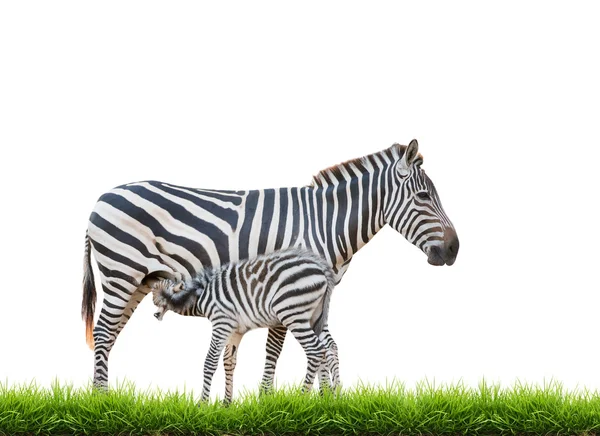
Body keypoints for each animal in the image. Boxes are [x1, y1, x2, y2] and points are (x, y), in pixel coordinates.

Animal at [148, 249, 340, 402]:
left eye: (156, 297)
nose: (155, 315)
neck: (200, 296)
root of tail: (321, 267)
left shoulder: (221, 323)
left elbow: (210, 361)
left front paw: (202, 405)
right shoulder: (235, 331)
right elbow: (229, 361)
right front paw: (226, 404)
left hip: (292, 314)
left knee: (315, 350)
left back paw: (301, 398)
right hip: (315, 316)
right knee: (329, 347)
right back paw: (334, 395)